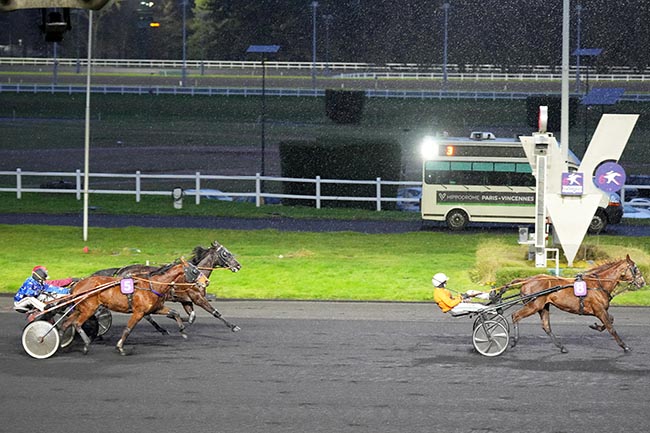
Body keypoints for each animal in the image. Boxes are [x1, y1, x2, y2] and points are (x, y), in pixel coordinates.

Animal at [63, 256, 208, 354]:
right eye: (195, 270)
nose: (206, 281)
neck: (152, 285)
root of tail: (77, 285)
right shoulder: (139, 312)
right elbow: (128, 329)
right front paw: (120, 347)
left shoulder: (156, 308)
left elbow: (175, 312)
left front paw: (183, 331)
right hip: (89, 309)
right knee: (77, 324)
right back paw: (86, 344)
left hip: (79, 309)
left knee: (66, 323)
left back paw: (63, 342)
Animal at [91, 240, 240, 330]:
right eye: (225, 254)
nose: (238, 266)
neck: (195, 274)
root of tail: (121, 269)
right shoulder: (198, 298)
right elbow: (215, 312)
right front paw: (233, 326)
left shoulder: (186, 300)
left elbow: (192, 317)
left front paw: (178, 319)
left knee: (146, 315)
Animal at [504, 255, 640, 352]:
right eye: (635, 268)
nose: (642, 282)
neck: (598, 284)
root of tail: (527, 280)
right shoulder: (599, 310)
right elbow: (611, 327)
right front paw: (625, 346)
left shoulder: (601, 310)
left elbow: (610, 320)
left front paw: (596, 326)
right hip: (533, 305)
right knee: (515, 316)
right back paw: (514, 341)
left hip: (543, 307)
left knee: (546, 326)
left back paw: (561, 347)